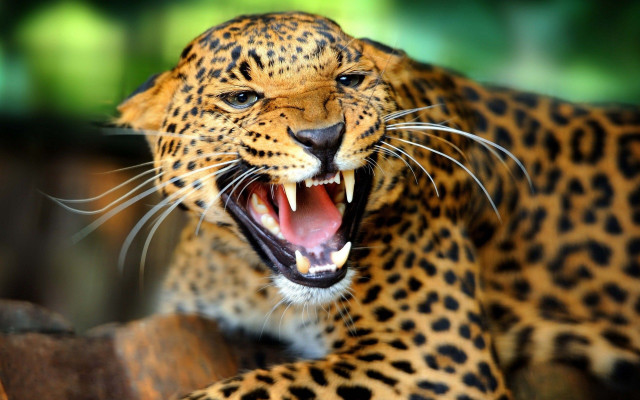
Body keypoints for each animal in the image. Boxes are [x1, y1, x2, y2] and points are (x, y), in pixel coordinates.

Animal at [116, 11, 640, 400]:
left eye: (349, 80)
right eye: (242, 98)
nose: (323, 137)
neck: (254, 283)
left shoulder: (434, 358)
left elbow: (253, 387)